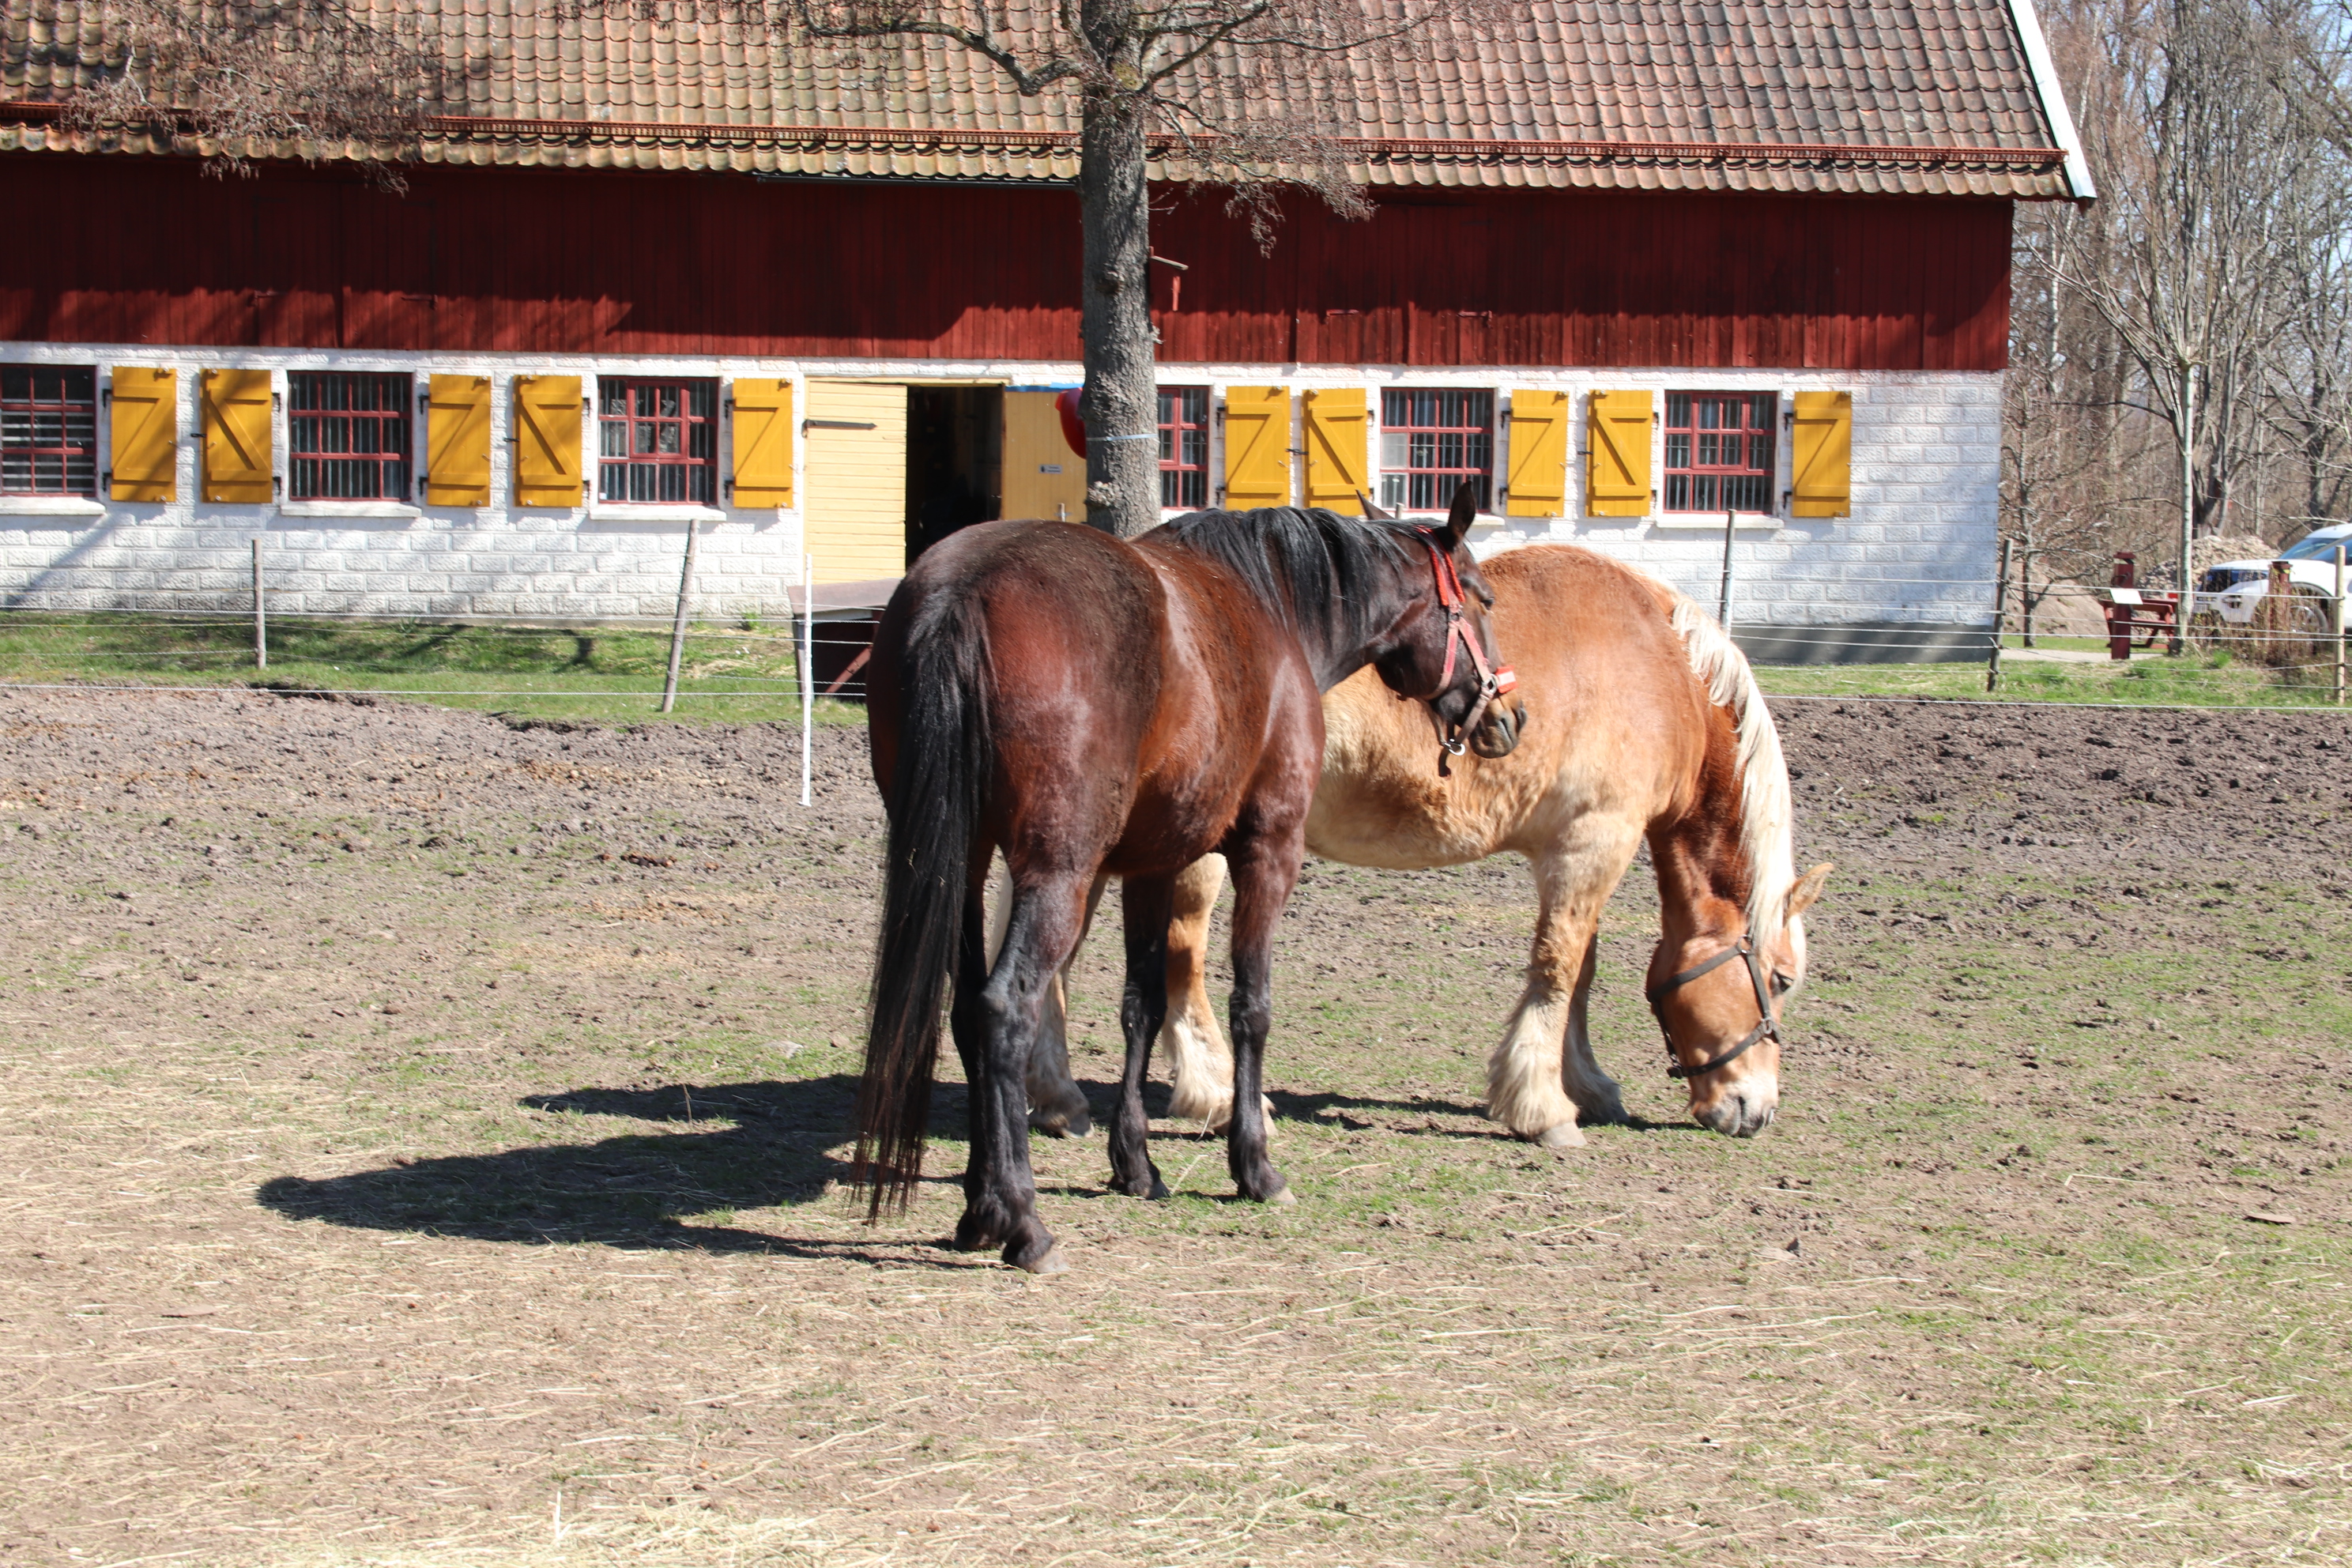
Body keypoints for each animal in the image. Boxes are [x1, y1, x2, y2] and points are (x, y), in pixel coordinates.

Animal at [858, 485, 1522, 1274]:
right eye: (1482, 597)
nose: (1510, 714)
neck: (1276, 607)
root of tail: (963, 590)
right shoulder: (1269, 849)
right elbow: (1251, 1007)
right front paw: (1254, 1166)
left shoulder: (1151, 863)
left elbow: (1141, 1005)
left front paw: (1136, 1165)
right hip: (1055, 874)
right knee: (1002, 1008)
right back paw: (1023, 1222)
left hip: (961, 861)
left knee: (965, 1012)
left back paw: (980, 1207)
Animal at [1020, 541, 1830, 1150]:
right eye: (1781, 979)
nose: (1755, 1109)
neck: (1661, 664)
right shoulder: (1595, 841)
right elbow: (1559, 967)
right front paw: (1544, 1109)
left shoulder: (1573, 849)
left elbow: (1580, 971)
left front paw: (1586, 1085)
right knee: (1182, 958)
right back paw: (1215, 1095)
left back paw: (1057, 1096)